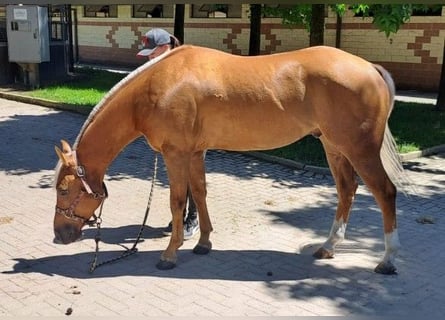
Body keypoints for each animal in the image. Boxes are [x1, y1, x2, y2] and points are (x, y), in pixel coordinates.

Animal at [53, 44, 410, 276]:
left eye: (63, 190)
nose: (59, 235)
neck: (156, 87)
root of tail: (370, 68)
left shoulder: (176, 154)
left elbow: (177, 200)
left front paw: (170, 253)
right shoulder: (195, 152)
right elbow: (199, 193)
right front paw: (204, 242)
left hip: (360, 149)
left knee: (384, 192)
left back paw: (388, 260)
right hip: (334, 147)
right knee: (347, 190)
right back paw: (329, 246)